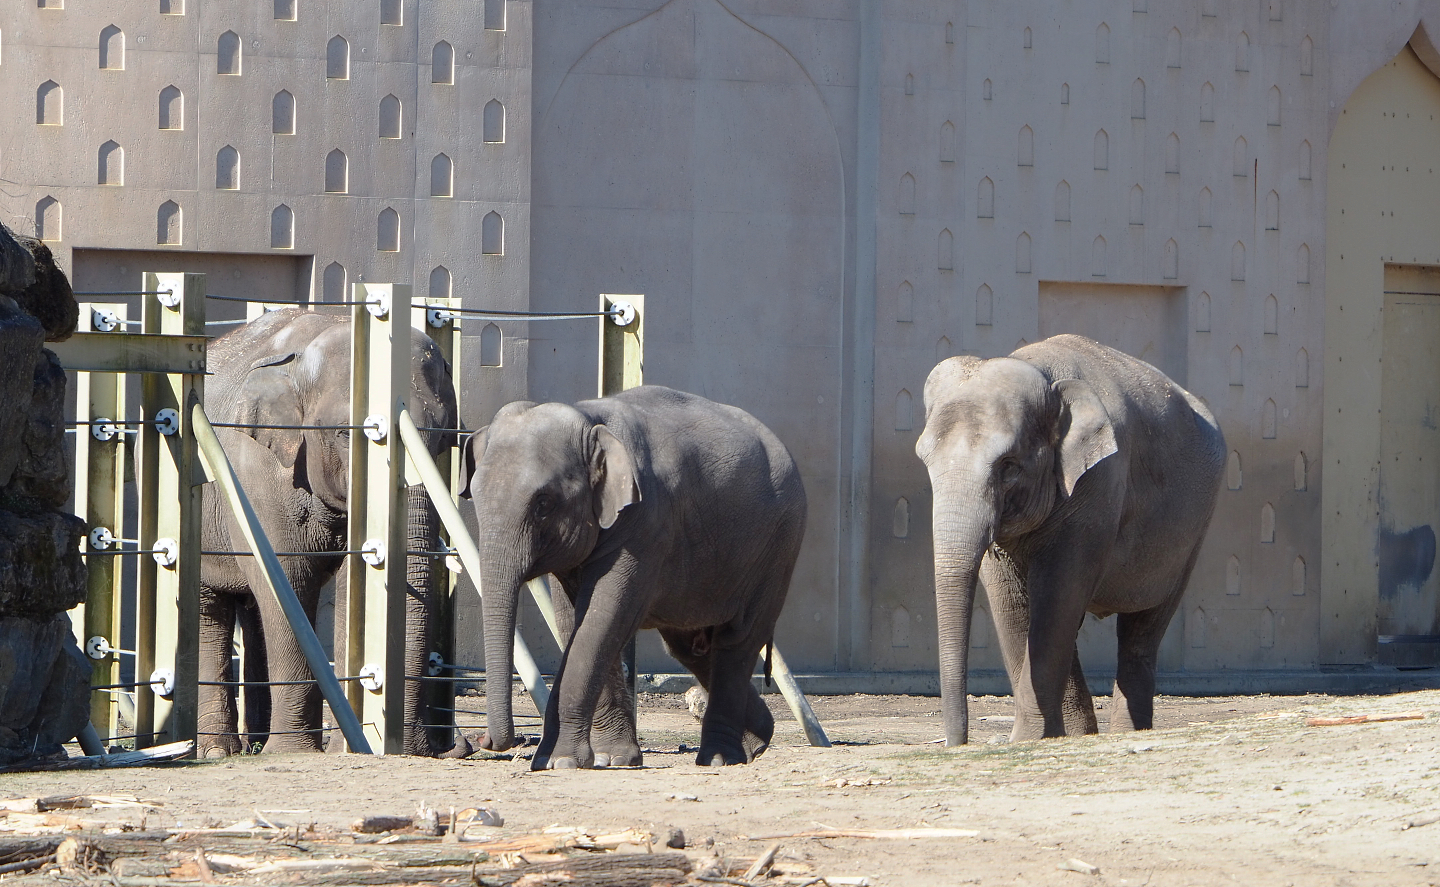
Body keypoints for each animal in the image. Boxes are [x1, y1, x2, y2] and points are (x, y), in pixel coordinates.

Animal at [196, 308, 457, 757]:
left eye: (442, 437)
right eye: (344, 434)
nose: (429, 749)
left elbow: (358, 581)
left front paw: (346, 748)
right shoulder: (257, 472)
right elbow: (287, 582)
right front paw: (295, 752)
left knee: (251, 611)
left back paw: (255, 743)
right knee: (208, 607)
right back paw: (219, 751)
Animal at [460, 385, 806, 770]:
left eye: (544, 503)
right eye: (475, 496)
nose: (486, 740)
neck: (589, 419)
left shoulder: (645, 523)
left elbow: (601, 619)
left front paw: (558, 761)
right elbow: (574, 621)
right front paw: (611, 759)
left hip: (778, 546)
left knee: (737, 640)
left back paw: (719, 758)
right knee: (691, 647)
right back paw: (756, 741)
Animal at [915, 334, 1225, 746]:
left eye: (1009, 466)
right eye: (924, 460)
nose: (957, 744)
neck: (1044, 376)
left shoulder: (1099, 484)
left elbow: (1055, 598)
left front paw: (1026, 740)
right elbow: (1012, 604)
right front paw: (1043, 738)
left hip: (1198, 521)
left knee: (1144, 627)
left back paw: (1125, 733)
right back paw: (1082, 736)